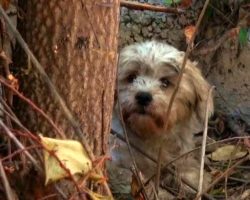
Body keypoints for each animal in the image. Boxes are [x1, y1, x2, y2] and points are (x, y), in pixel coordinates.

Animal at [107, 41, 213, 198]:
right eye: (131, 77)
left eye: (165, 82)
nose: (143, 96)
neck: (151, 137)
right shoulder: (119, 163)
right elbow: (141, 184)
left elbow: (183, 164)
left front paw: (192, 178)